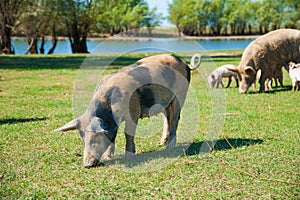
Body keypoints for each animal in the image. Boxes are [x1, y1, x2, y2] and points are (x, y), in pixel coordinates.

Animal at [55, 53, 202, 167]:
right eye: (83, 138)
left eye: (96, 137)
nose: (87, 164)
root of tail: (185, 64)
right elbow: (114, 136)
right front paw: (108, 157)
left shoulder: (134, 111)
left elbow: (128, 134)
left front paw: (129, 156)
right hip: (165, 102)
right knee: (166, 118)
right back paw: (160, 143)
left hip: (180, 94)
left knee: (175, 120)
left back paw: (168, 148)